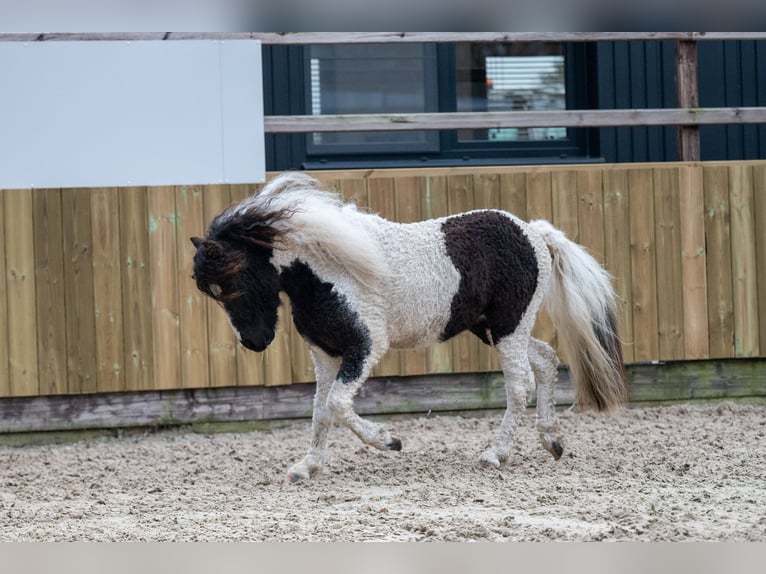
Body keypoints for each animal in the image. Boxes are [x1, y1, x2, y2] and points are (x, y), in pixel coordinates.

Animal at [192, 173, 632, 484]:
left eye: (231, 285)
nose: (254, 342)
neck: (327, 272)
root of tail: (535, 233)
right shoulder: (325, 354)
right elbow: (319, 410)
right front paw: (307, 467)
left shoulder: (365, 347)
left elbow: (336, 404)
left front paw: (390, 441)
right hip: (495, 328)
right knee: (544, 361)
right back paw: (552, 441)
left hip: (509, 326)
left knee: (519, 382)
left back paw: (495, 454)